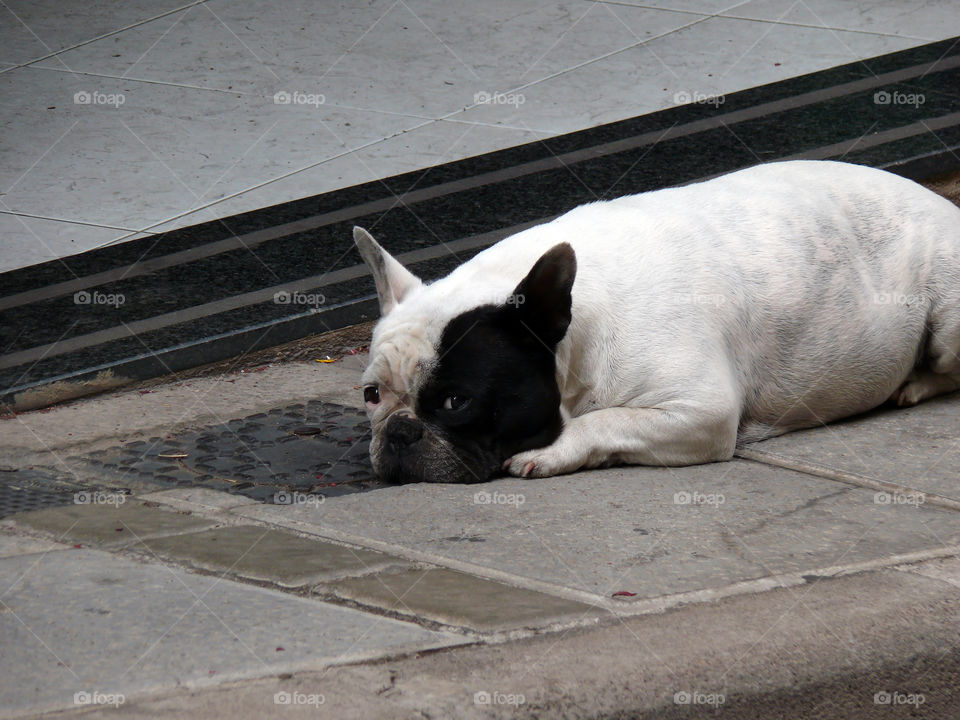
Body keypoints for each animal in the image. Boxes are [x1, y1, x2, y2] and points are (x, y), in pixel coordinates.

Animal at [352, 159, 960, 484]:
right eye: (371, 396)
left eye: (458, 401)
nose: (400, 431)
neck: (579, 337)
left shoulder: (699, 410)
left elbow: (604, 421)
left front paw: (552, 451)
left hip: (948, 318)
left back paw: (913, 383)